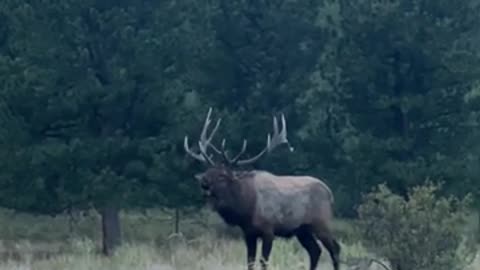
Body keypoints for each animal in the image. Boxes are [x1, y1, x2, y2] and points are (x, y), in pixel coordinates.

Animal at [184, 107, 342, 270]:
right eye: (208, 170)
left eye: (222, 175)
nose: (203, 181)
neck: (246, 208)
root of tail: (330, 194)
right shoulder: (249, 233)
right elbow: (250, 261)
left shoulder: (268, 230)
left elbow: (263, 261)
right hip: (302, 230)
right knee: (315, 250)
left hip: (321, 222)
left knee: (334, 248)